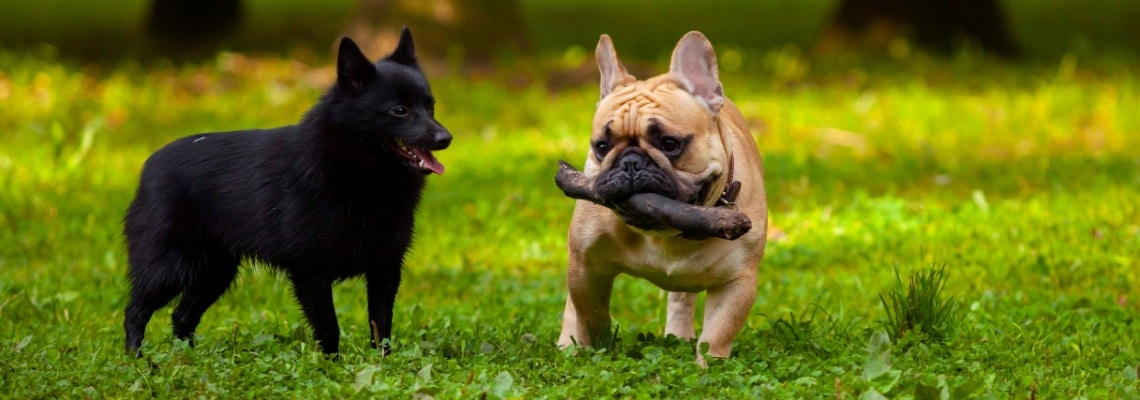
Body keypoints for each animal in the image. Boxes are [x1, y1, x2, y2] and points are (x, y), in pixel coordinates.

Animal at [121, 27, 449, 357]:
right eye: (399, 110)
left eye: (431, 104)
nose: (445, 138)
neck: (357, 173)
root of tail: (148, 166)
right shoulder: (310, 273)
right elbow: (329, 329)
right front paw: (332, 365)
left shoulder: (385, 267)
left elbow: (381, 325)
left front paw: (382, 362)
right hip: (168, 269)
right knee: (135, 311)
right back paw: (138, 359)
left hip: (215, 272)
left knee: (181, 315)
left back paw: (186, 357)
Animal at [556, 32, 770, 364]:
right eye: (602, 146)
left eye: (670, 144)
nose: (631, 163)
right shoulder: (586, 265)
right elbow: (590, 312)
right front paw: (596, 347)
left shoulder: (738, 283)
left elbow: (717, 334)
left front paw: (707, 368)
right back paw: (567, 343)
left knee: (682, 299)